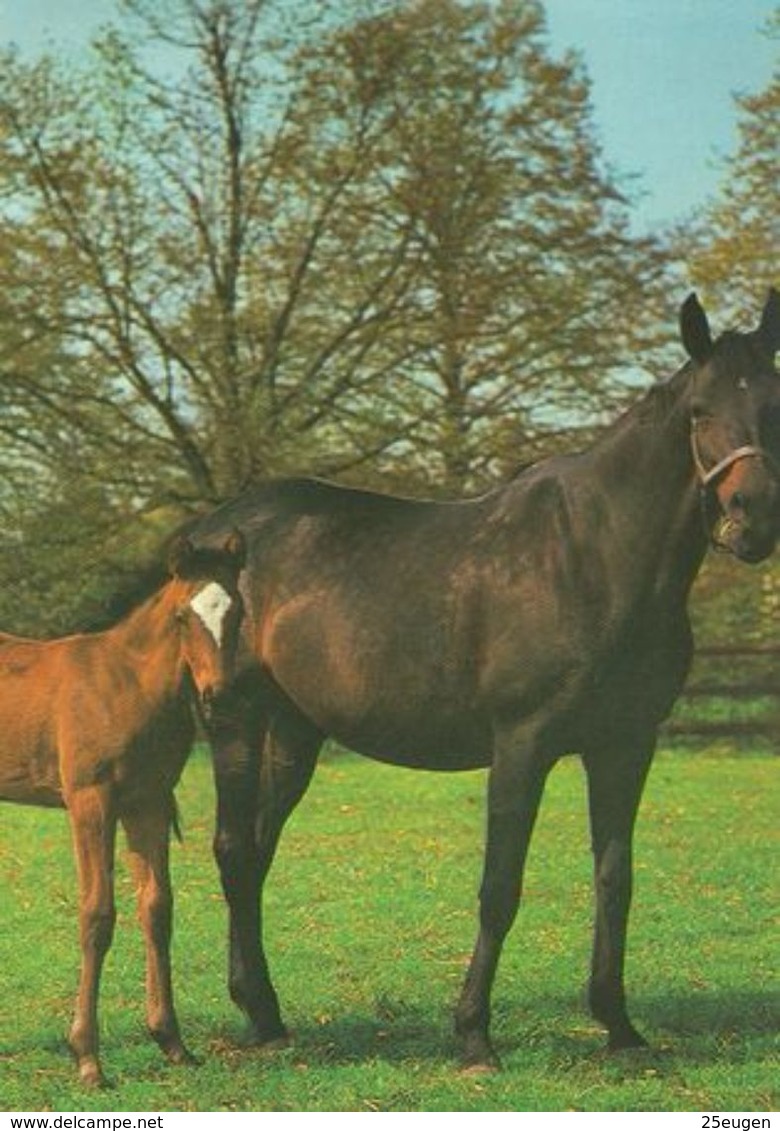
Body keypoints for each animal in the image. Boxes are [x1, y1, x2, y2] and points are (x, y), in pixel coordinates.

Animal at [0, 529, 244, 1085]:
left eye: (238, 610)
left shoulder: (147, 802)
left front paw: (171, 1041)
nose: (219, 698)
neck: (126, 685)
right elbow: (97, 915)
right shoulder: (91, 801)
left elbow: (156, 908)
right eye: (182, 616)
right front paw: (87, 1058)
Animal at [185, 291, 773, 1067]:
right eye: (701, 410)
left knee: (255, 852)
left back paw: (263, 1012)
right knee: (232, 850)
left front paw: (618, 1025)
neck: (598, 553)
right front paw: (472, 1035)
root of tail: (218, 530)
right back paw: (259, 1010)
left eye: (777, 402)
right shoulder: (522, 744)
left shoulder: (626, 744)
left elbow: (615, 877)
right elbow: (500, 886)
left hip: (294, 731)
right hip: (234, 719)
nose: (753, 520)